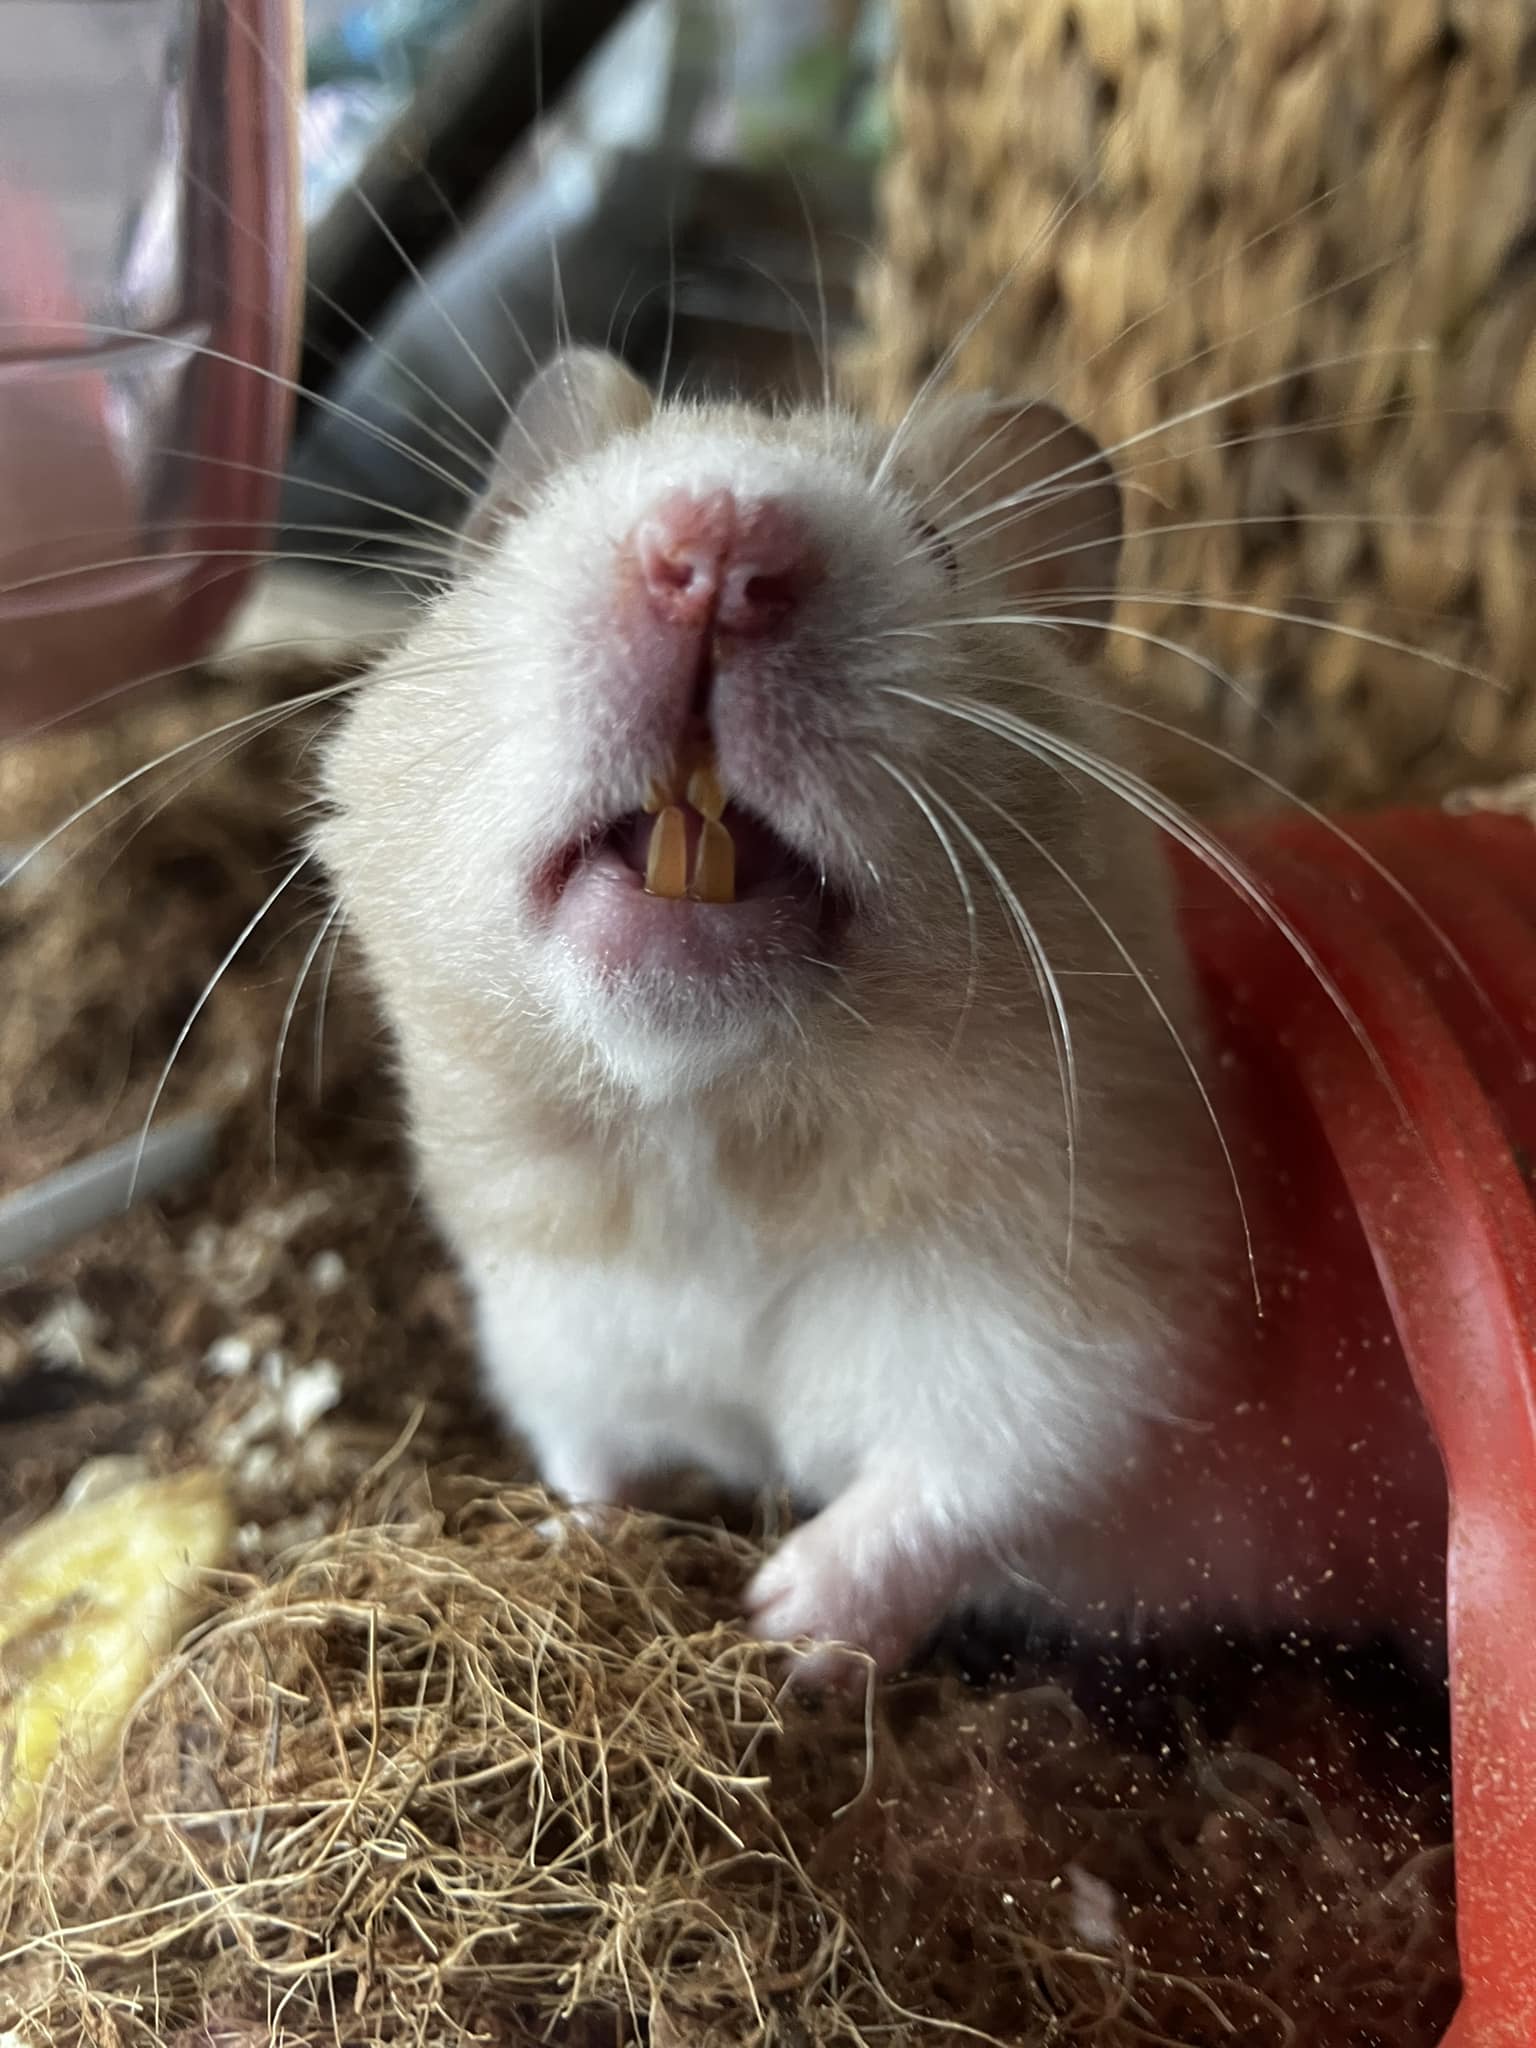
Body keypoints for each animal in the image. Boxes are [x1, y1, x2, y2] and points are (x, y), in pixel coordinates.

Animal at [315, 347, 1244, 1678]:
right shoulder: (550, 1334)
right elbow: (589, 1458)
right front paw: (573, 1547)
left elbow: (959, 1484)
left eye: (939, 546)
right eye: (551, 519)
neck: (717, 1144)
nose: (716, 553)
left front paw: (778, 1624)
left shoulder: (1081, 1348)